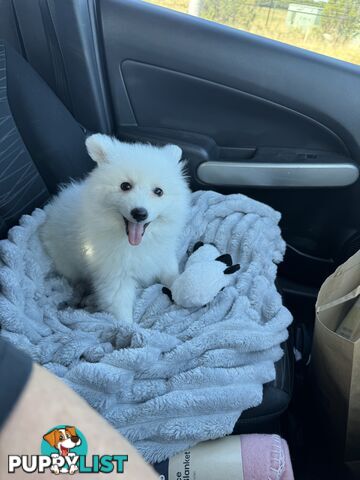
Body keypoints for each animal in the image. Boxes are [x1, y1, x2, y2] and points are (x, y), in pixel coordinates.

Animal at [39, 134, 191, 322]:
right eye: (125, 186)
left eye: (158, 191)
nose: (139, 213)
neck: (137, 244)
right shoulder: (114, 276)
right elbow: (121, 309)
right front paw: (128, 328)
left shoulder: (162, 257)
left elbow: (172, 276)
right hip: (67, 263)